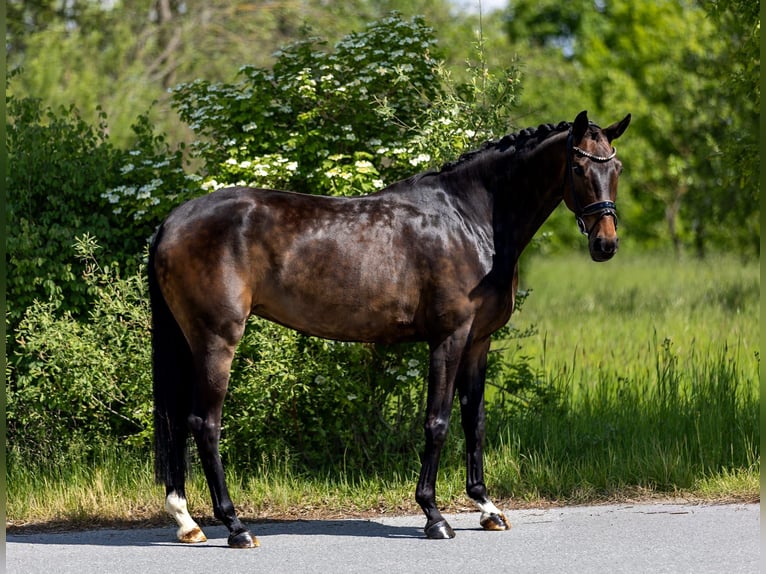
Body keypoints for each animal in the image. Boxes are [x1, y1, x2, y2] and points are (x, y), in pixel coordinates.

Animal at [148, 110, 631, 548]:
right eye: (579, 167)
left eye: (617, 168)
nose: (606, 244)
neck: (470, 219)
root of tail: (172, 221)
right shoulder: (449, 338)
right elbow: (437, 422)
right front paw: (435, 516)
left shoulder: (479, 341)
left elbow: (474, 421)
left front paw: (487, 508)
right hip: (217, 341)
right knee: (205, 424)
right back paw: (235, 527)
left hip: (190, 342)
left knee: (183, 422)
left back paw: (187, 521)